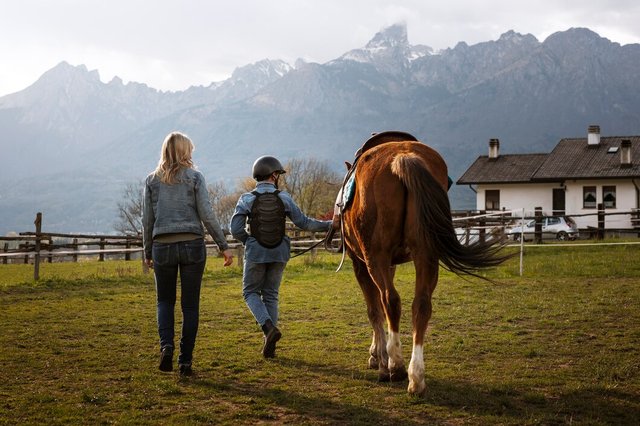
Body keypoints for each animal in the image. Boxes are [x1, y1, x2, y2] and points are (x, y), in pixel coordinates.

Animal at [330, 133, 510, 396]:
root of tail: (402, 157)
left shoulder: (361, 263)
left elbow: (373, 310)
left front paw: (379, 357)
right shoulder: (391, 264)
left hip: (376, 257)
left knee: (390, 300)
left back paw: (395, 365)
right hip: (426, 255)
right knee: (421, 305)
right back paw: (416, 377)